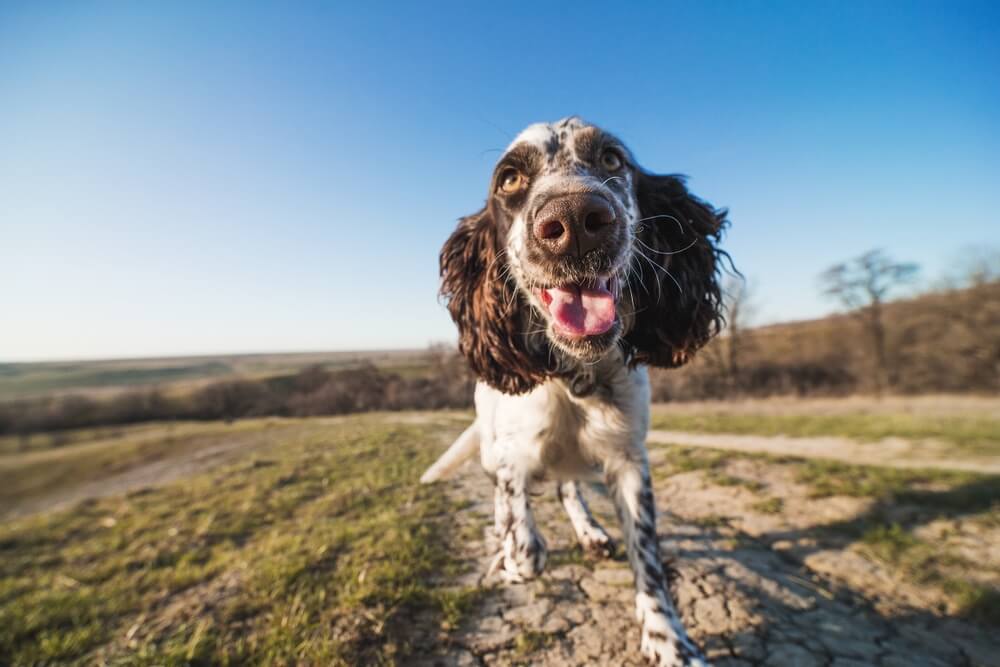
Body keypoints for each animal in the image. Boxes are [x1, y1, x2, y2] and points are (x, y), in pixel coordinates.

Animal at [418, 117, 732, 664]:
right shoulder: (509, 455)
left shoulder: (629, 459)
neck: (574, 378)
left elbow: (648, 557)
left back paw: (590, 531)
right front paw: (513, 556)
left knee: (568, 487)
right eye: (509, 179)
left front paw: (668, 639)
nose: (575, 222)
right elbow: (522, 534)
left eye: (611, 159)